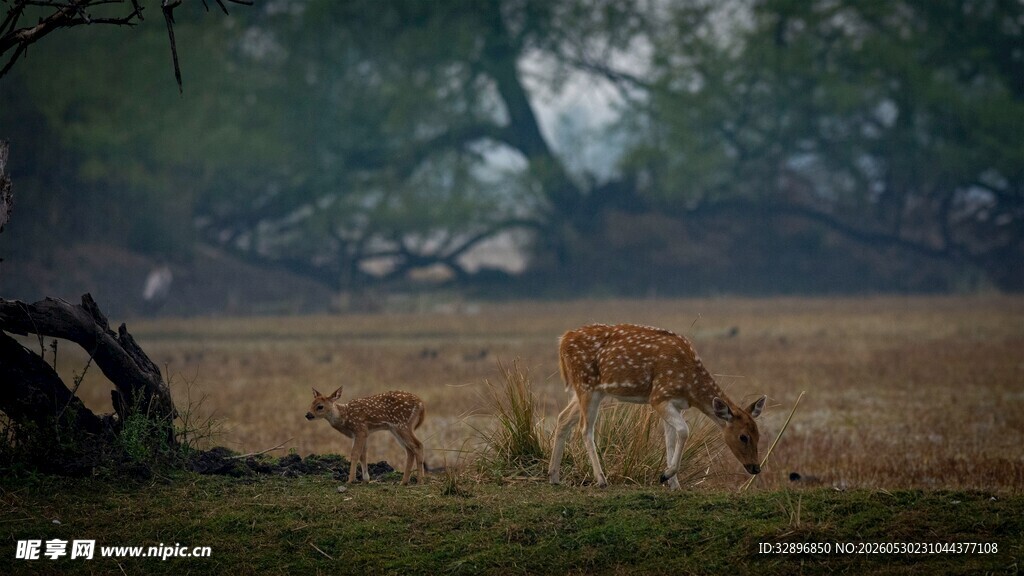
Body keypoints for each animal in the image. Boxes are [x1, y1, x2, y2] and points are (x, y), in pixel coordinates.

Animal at [548, 323, 767, 489]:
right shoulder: (658, 396)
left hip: (591, 390)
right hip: (586, 385)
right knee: (585, 428)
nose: (756, 468)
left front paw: (673, 483)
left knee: (563, 418)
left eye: (758, 434)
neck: (690, 385)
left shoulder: (675, 404)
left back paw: (554, 476)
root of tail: (562, 341)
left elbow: (671, 439)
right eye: (743, 436)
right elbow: (684, 431)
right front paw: (666, 475)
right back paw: (601, 480)